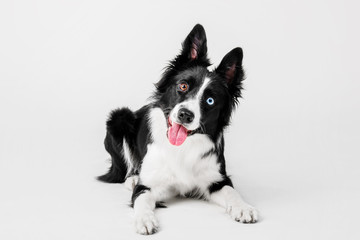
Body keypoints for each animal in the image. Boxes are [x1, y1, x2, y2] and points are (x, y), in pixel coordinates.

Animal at [98, 23, 258, 234]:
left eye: (210, 100)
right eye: (183, 86)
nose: (185, 115)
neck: (183, 147)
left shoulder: (216, 179)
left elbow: (232, 192)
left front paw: (244, 207)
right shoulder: (147, 185)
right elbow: (141, 200)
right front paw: (144, 219)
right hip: (119, 118)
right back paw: (131, 178)